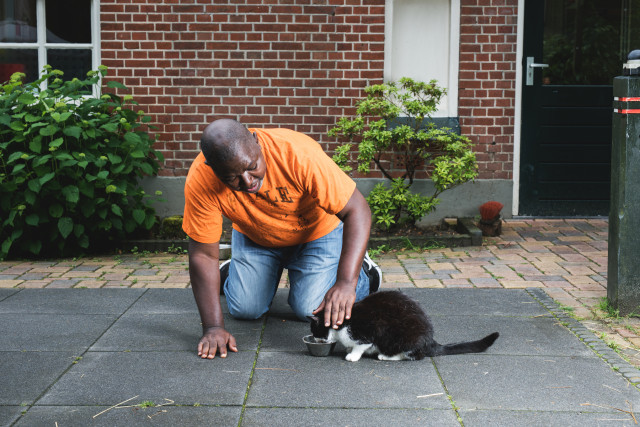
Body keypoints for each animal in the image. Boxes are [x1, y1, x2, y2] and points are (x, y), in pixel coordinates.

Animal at [310, 290, 500, 362]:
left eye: (315, 330)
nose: (316, 339)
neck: (342, 323)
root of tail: (431, 340)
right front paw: (349, 350)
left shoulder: (366, 333)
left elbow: (360, 346)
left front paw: (353, 355)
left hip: (403, 339)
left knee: (413, 355)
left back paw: (385, 356)